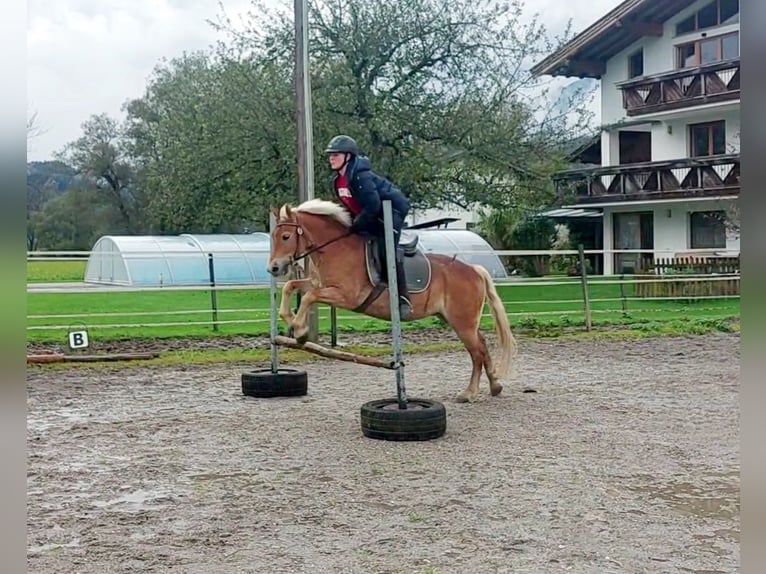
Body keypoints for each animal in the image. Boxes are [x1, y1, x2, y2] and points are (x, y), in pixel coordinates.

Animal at [268, 199, 520, 404]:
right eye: (273, 237)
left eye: (286, 237)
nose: (273, 268)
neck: (335, 248)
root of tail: (474, 270)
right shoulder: (318, 284)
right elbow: (292, 287)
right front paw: (290, 320)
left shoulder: (345, 296)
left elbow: (308, 297)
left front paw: (300, 331)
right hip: (457, 320)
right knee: (482, 346)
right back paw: (495, 386)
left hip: (463, 323)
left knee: (476, 352)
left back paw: (469, 392)